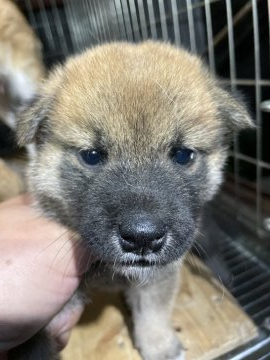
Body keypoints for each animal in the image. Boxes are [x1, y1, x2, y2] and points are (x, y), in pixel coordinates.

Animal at [11, 40, 253, 358]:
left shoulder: (160, 274)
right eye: (91, 156)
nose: (142, 237)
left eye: (182, 155)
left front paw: (159, 345)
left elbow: (154, 310)